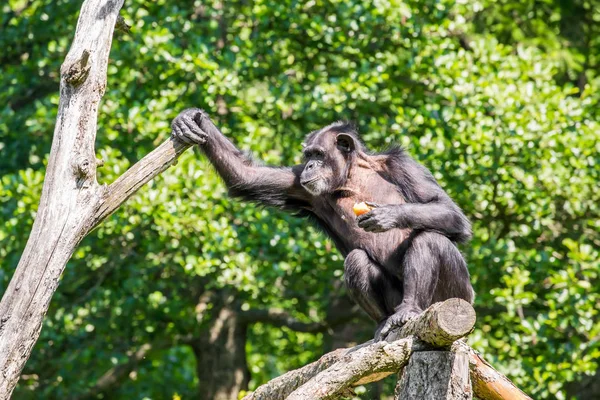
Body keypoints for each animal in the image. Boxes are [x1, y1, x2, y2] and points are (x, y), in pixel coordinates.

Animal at [171, 108, 476, 340]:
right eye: (307, 156)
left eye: (318, 154)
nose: (309, 166)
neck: (352, 174)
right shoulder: (300, 185)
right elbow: (246, 176)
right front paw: (191, 119)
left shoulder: (404, 165)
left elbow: (447, 209)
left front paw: (387, 215)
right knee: (356, 260)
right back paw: (384, 322)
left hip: (456, 298)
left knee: (430, 239)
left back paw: (409, 310)